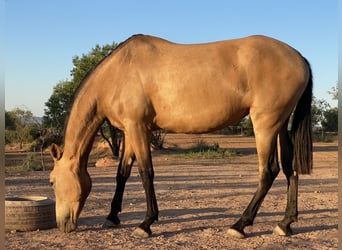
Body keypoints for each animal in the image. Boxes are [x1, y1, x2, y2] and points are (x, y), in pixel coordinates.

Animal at [48, 33, 312, 238]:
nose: (62, 225)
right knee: (290, 170)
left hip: (265, 126)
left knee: (269, 172)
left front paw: (146, 223)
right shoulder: (129, 131)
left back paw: (239, 225)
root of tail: (299, 57)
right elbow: (122, 173)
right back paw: (285, 224)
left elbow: (146, 173)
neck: (117, 72)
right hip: (280, 126)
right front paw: (112, 216)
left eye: (51, 181)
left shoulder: (137, 128)